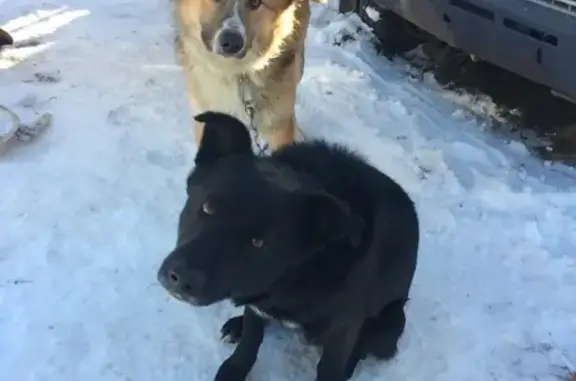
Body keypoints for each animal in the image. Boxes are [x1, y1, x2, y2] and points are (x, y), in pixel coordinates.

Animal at [158, 110, 418, 380]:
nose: (183, 279)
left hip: (389, 325)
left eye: (258, 242)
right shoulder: (256, 303)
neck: (294, 280)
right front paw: (235, 367)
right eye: (208, 207)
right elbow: (251, 340)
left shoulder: (344, 328)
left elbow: (331, 366)